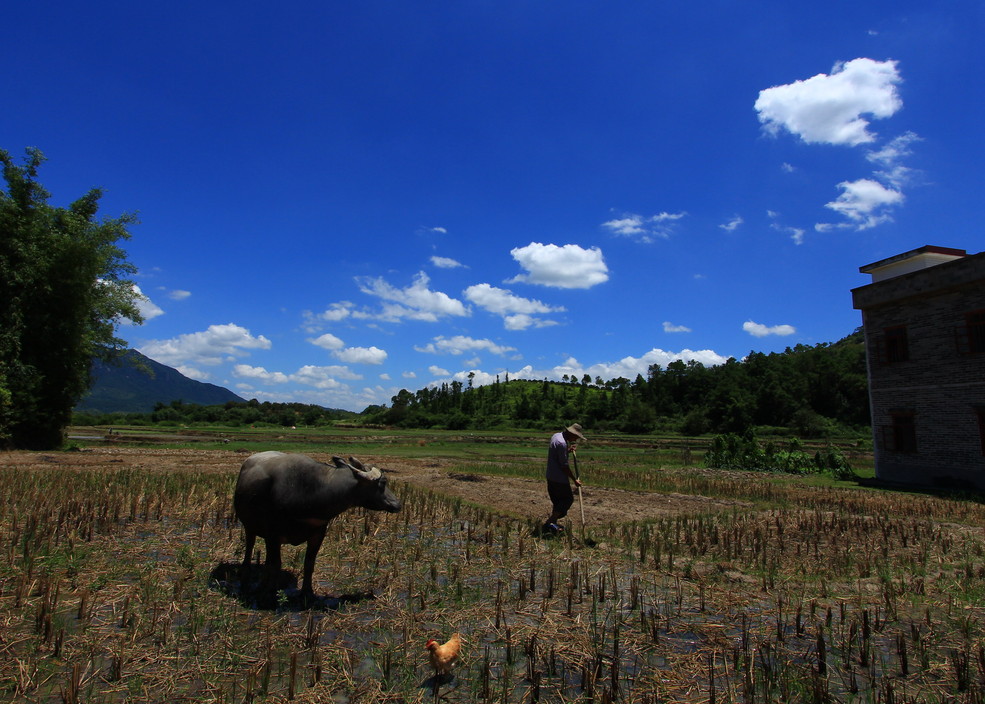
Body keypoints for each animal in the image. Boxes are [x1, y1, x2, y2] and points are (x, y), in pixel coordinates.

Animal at [234, 454, 400, 596]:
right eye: (383, 482)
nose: (398, 504)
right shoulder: (273, 534)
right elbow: (276, 564)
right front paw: (270, 592)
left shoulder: (318, 534)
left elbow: (309, 564)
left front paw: (307, 592)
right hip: (249, 527)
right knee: (250, 547)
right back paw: (246, 572)